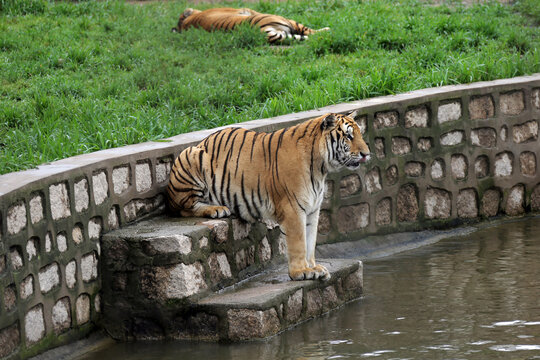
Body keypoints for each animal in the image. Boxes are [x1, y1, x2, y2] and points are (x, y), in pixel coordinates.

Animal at [168, 112, 372, 282]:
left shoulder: (313, 210)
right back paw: (216, 209)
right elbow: (299, 242)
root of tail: (202, 141)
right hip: (191, 158)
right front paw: (301, 272)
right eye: (348, 136)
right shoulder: (293, 208)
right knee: (183, 208)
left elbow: (310, 241)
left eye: (360, 135)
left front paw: (314, 267)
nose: (367, 154)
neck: (321, 167)